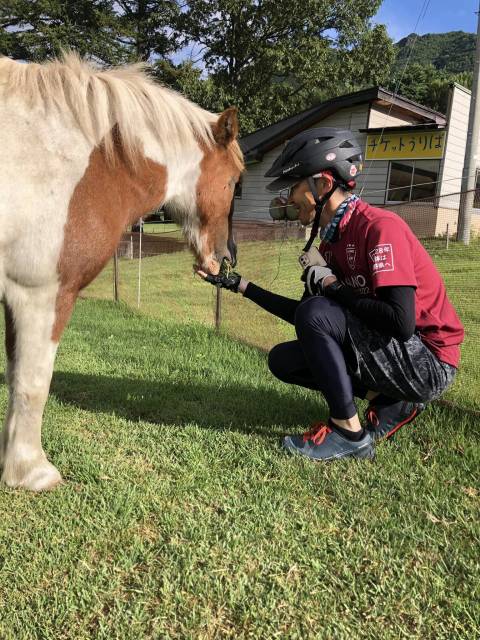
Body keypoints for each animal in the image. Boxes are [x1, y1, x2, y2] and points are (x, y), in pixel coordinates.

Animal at [0, 53, 246, 490]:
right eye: (234, 181)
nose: (223, 256)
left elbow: (16, 377)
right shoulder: (39, 294)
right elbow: (33, 383)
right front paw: (31, 471)